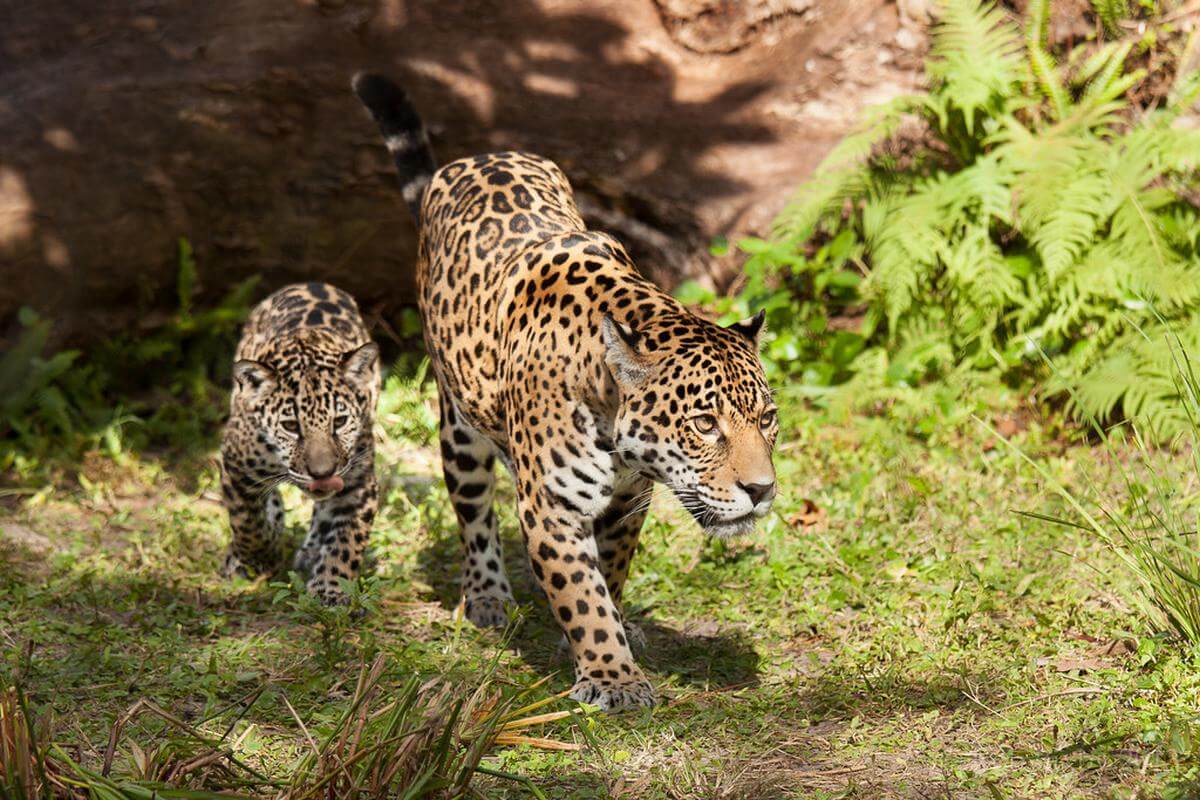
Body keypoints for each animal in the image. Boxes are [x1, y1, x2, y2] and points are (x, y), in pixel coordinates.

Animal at [219, 281, 381, 605]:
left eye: (339, 422)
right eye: (291, 427)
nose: (323, 474)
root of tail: (310, 283)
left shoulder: (359, 485)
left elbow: (347, 539)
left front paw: (331, 587)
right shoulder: (235, 468)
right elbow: (247, 523)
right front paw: (258, 555)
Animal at [354, 73, 778, 710]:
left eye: (767, 418)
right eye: (705, 424)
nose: (762, 491)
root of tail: (473, 159)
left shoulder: (629, 501)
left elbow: (610, 575)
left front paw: (604, 635)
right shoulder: (551, 507)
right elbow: (581, 594)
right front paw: (613, 677)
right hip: (458, 428)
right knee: (473, 513)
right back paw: (487, 598)